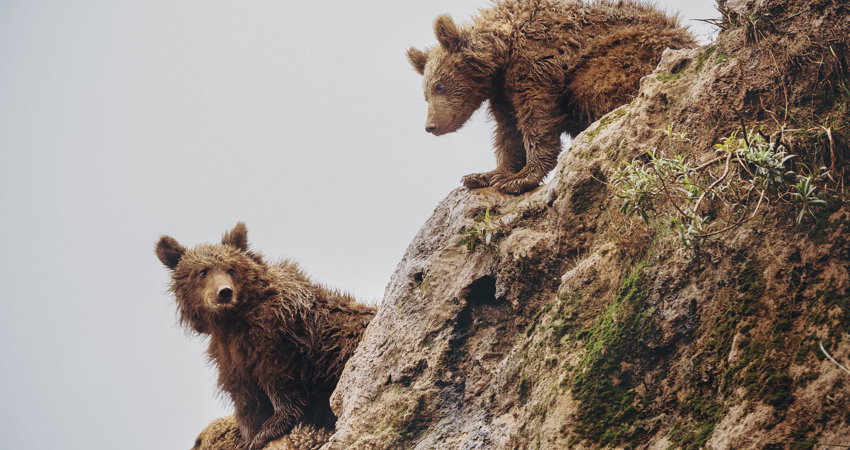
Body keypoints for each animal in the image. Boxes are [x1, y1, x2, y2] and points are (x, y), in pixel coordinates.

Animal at [407, 0, 696, 194]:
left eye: (440, 86)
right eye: (425, 94)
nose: (431, 126)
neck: (503, 51)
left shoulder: (536, 63)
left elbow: (537, 118)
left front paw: (518, 179)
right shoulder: (502, 91)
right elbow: (508, 131)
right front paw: (486, 174)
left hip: (625, 52)